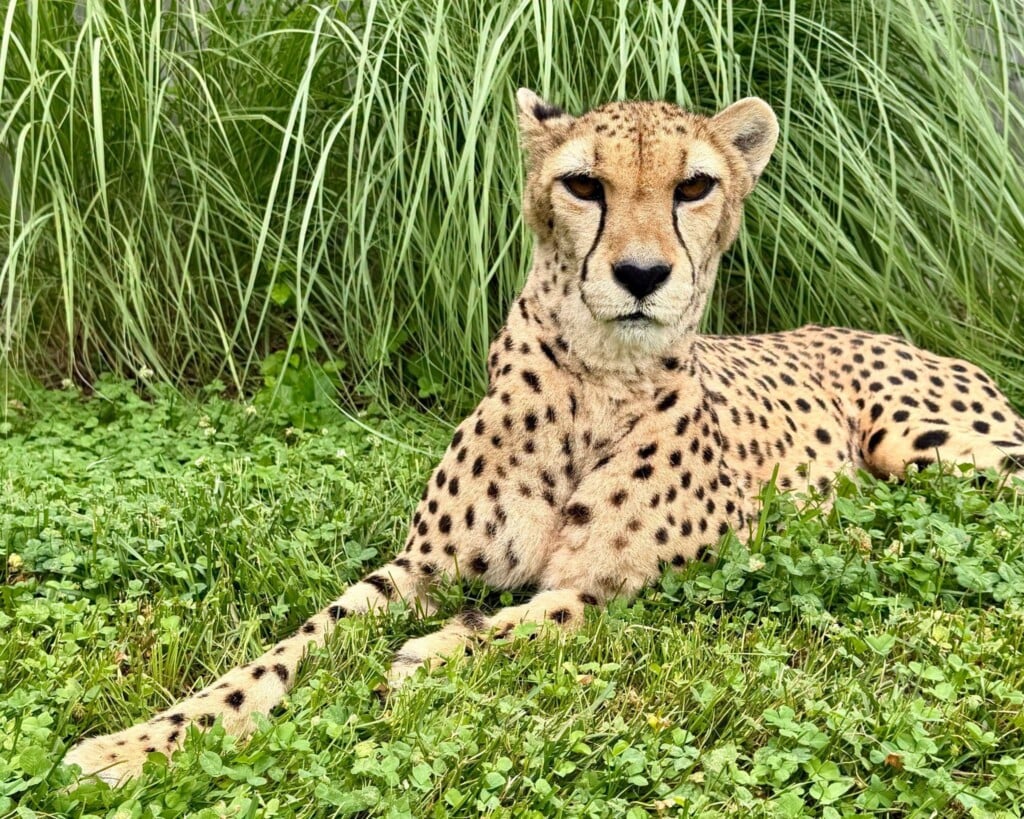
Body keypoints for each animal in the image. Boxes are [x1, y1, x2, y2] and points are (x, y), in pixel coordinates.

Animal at [64, 88, 1024, 785]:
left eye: (694, 186)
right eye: (583, 184)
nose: (641, 274)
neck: (595, 377)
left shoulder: (644, 584)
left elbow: (536, 612)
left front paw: (430, 653)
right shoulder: (418, 567)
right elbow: (284, 648)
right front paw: (136, 741)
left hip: (940, 449)